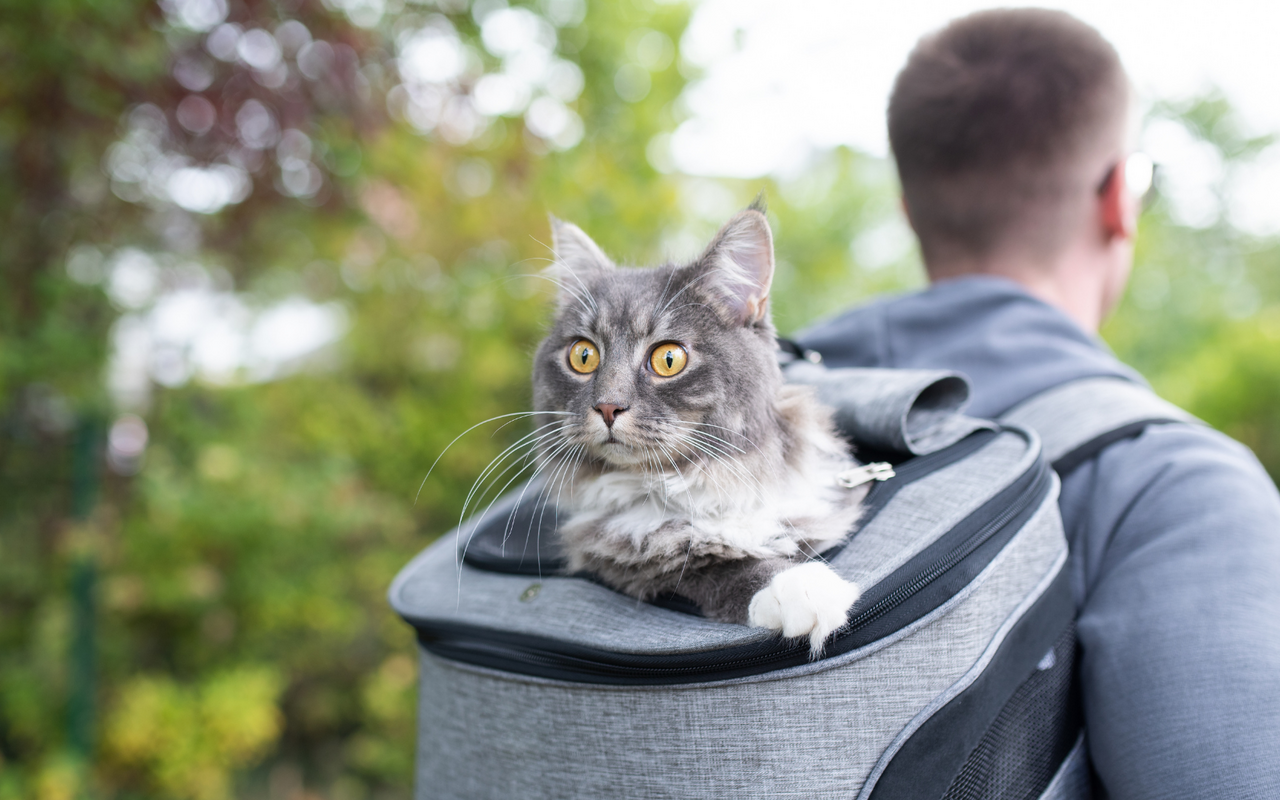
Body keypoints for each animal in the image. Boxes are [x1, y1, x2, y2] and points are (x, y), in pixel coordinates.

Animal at [529, 202, 870, 652]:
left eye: (668, 359)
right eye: (583, 356)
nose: (607, 406)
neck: (704, 482)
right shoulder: (621, 555)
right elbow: (716, 566)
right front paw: (801, 586)